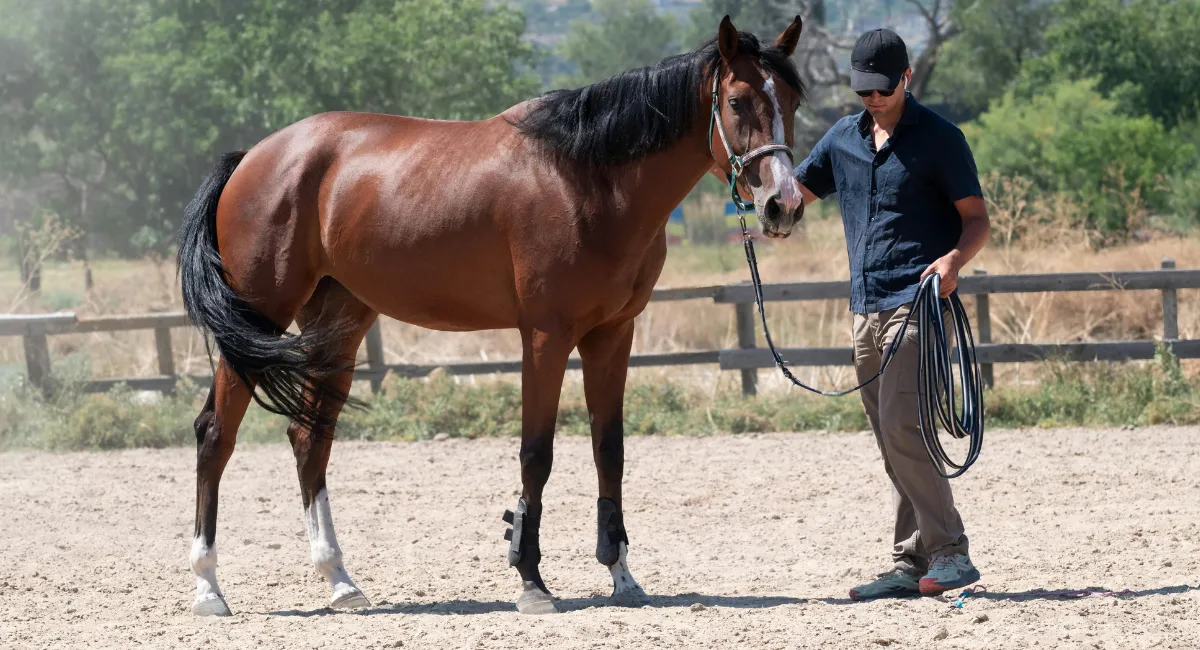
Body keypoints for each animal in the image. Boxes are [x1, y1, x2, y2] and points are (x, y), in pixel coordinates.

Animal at [178, 15, 808, 616]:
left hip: (338, 322)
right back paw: (209, 589)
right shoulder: (545, 337)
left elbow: (610, 451)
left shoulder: (611, 336)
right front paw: (531, 580)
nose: (784, 205)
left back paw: (340, 581)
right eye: (737, 102)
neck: (588, 179)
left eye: (793, 101)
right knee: (216, 435)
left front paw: (622, 576)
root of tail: (253, 158)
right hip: (258, 318)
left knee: (310, 437)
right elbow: (537, 453)